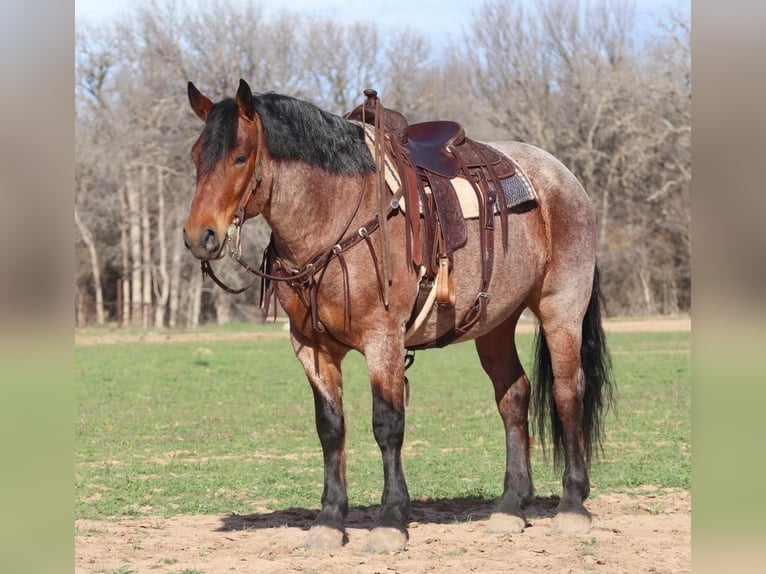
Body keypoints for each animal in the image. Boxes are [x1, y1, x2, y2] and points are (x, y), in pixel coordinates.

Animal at [183, 79, 616, 552]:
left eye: (240, 157)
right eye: (196, 155)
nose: (199, 236)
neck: (334, 213)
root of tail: (565, 178)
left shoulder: (383, 339)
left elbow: (387, 425)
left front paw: (390, 519)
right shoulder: (311, 346)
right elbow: (330, 427)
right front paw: (329, 520)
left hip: (561, 311)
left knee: (567, 392)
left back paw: (572, 505)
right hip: (495, 323)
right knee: (514, 396)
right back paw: (510, 506)